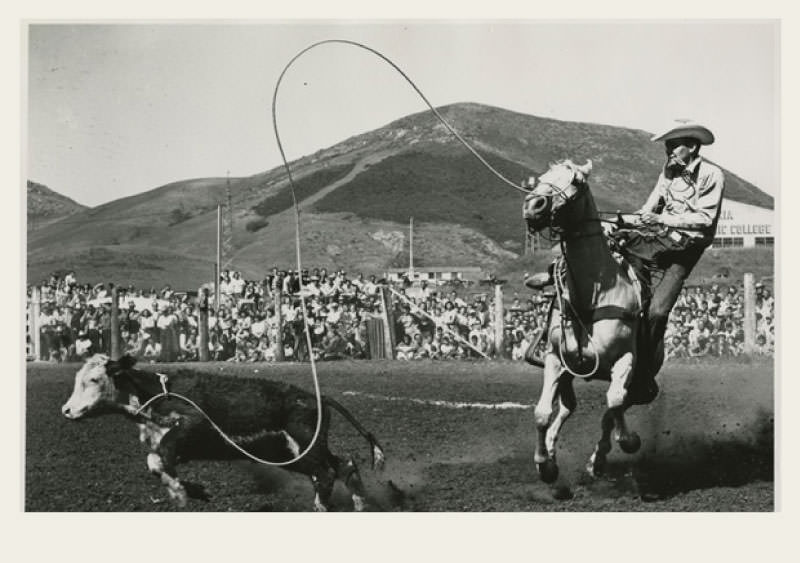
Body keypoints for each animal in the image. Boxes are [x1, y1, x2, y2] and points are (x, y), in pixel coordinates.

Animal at [61, 354, 385, 511]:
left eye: (94, 379)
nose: (66, 410)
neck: (154, 392)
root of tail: (317, 398)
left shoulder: (192, 424)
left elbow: (160, 455)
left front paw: (180, 491)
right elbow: (156, 461)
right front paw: (189, 489)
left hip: (305, 446)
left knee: (327, 474)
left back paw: (322, 506)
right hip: (293, 452)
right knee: (344, 465)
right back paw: (360, 505)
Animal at [521, 159, 663, 483]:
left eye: (576, 181)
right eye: (542, 177)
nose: (534, 206)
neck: (594, 295)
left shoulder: (626, 361)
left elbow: (613, 404)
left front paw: (629, 440)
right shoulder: (556, 359)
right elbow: (542, 412)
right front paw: (545, 463)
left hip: (641, 380)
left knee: (613, 409)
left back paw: (597, 460)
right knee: (567, 407)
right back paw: (553, 450)